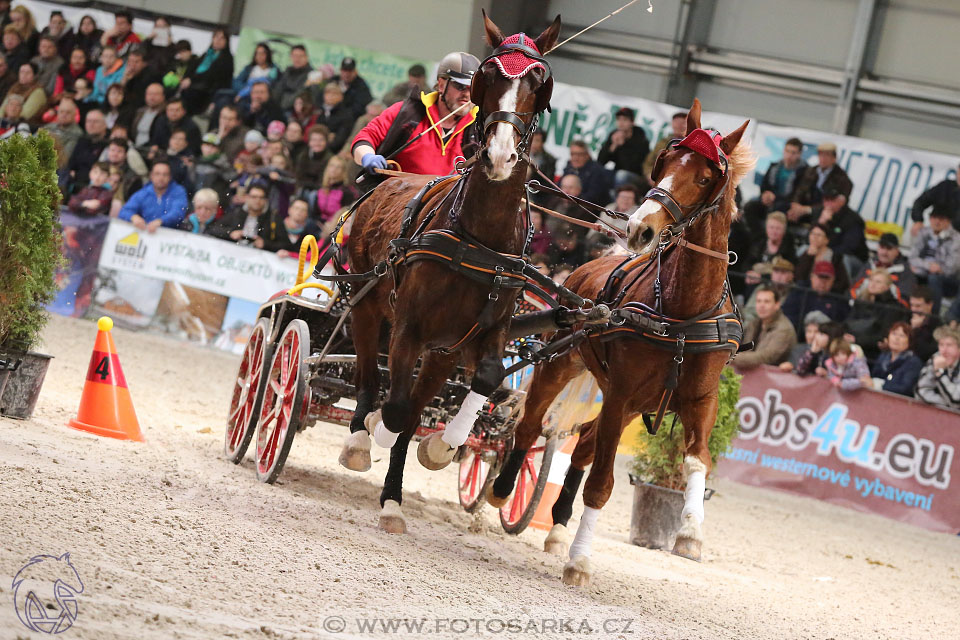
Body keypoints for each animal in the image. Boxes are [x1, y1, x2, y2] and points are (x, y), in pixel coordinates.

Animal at [340, 16, 560, 536]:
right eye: (488, 74)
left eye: (539, 78)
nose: (499, 155)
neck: (479, 239)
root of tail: (393, 179)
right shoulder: (409, 327)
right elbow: (396, 408)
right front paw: (378, 429)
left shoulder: (483, 332)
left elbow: (485, 378)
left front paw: (441, 445)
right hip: (367, 302)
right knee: (367, 374)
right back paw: (360, 438)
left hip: (442, 351)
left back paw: (394, 496)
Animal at [492, 100, 752, 584]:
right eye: (665, 163)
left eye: (704, 178)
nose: (639, 229)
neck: (682, 314)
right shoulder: (622, 390)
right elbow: (601, 483)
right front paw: (579, 561)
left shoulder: (700, 398)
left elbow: (697, 460)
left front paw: (690, 534)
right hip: (564, 365)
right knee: (530, 425)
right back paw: (502, 488)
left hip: (635, 403)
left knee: (584, 442)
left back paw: (558, 529)